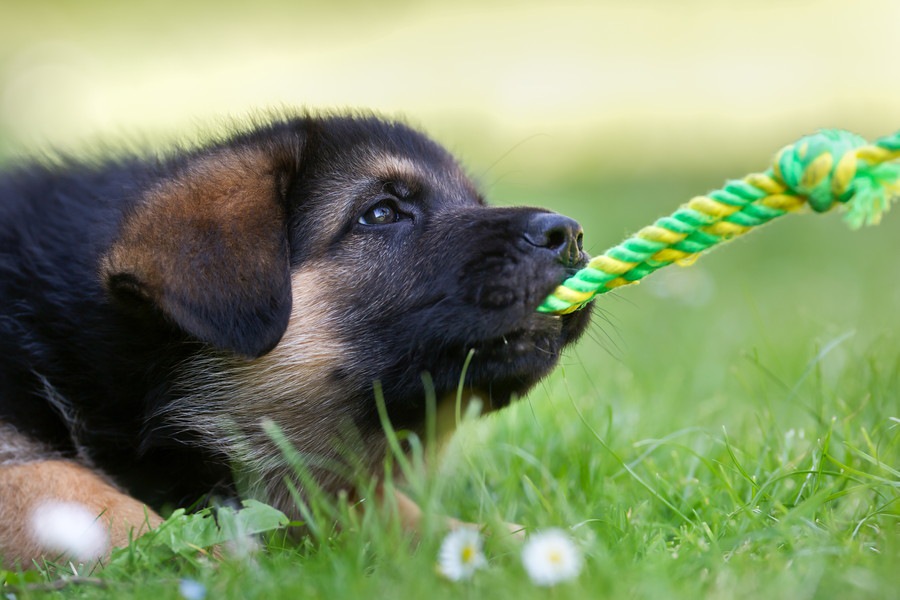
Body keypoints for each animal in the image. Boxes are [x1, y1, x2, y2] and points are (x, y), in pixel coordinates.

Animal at [0, 111, 592, 564]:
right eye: (380, 212)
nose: (570, 236)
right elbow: (69, 492)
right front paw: (213, 563)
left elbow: (378, 506)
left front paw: (488, 541)